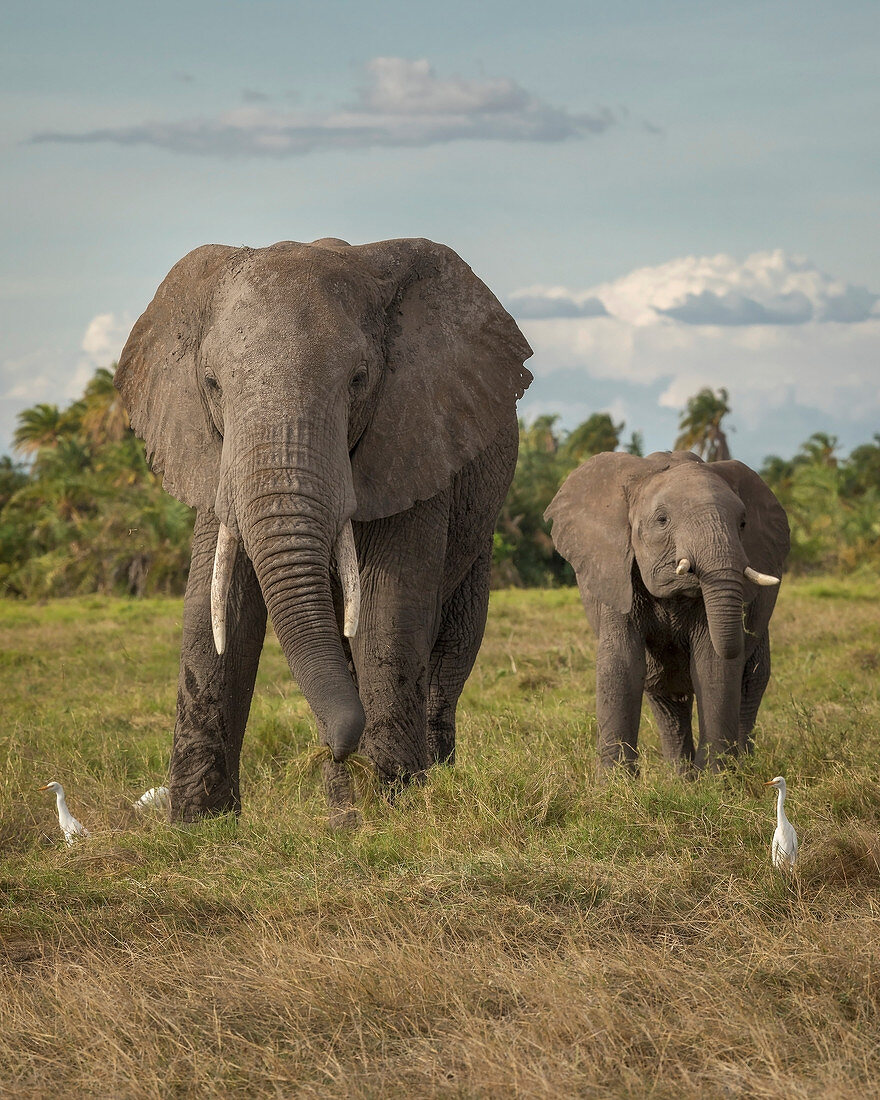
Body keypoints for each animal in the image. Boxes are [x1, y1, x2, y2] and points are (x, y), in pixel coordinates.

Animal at [113, 236, 532, 822]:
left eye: (358, 379)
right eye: (212, 383)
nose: (338, 748)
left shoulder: (415, 439)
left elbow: (386, 610)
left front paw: (393, 809)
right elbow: (215, 611)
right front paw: (197, 826)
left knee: (447, 659)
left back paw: (428, 784)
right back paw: (345, 811)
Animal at [545, 453, 787, 774]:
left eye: (743, 523)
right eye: (662, 520)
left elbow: (713, 664)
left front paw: (717, 779)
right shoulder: (617, 576)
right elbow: (621, 663)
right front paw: (614, 784)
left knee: (752, 681)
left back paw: (741, 768)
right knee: (665, 695)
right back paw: (682, 778)